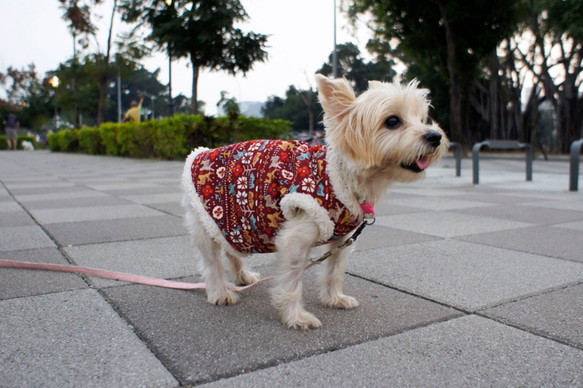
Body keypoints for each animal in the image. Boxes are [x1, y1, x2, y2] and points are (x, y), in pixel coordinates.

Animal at [180, 74, 450, 328]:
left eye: (423, 118)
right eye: (392, 121)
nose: (436, 136)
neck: (342, 175)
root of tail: (202, 152)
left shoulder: (343, 239)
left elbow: (334, 271)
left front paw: (334, 298)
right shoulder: (296, 239)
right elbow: (292, 281)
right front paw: (295, 317)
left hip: (230, 221)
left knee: (231, 249)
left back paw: (243, 277)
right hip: (207, 219)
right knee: (212, 261)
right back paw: (220, 292)